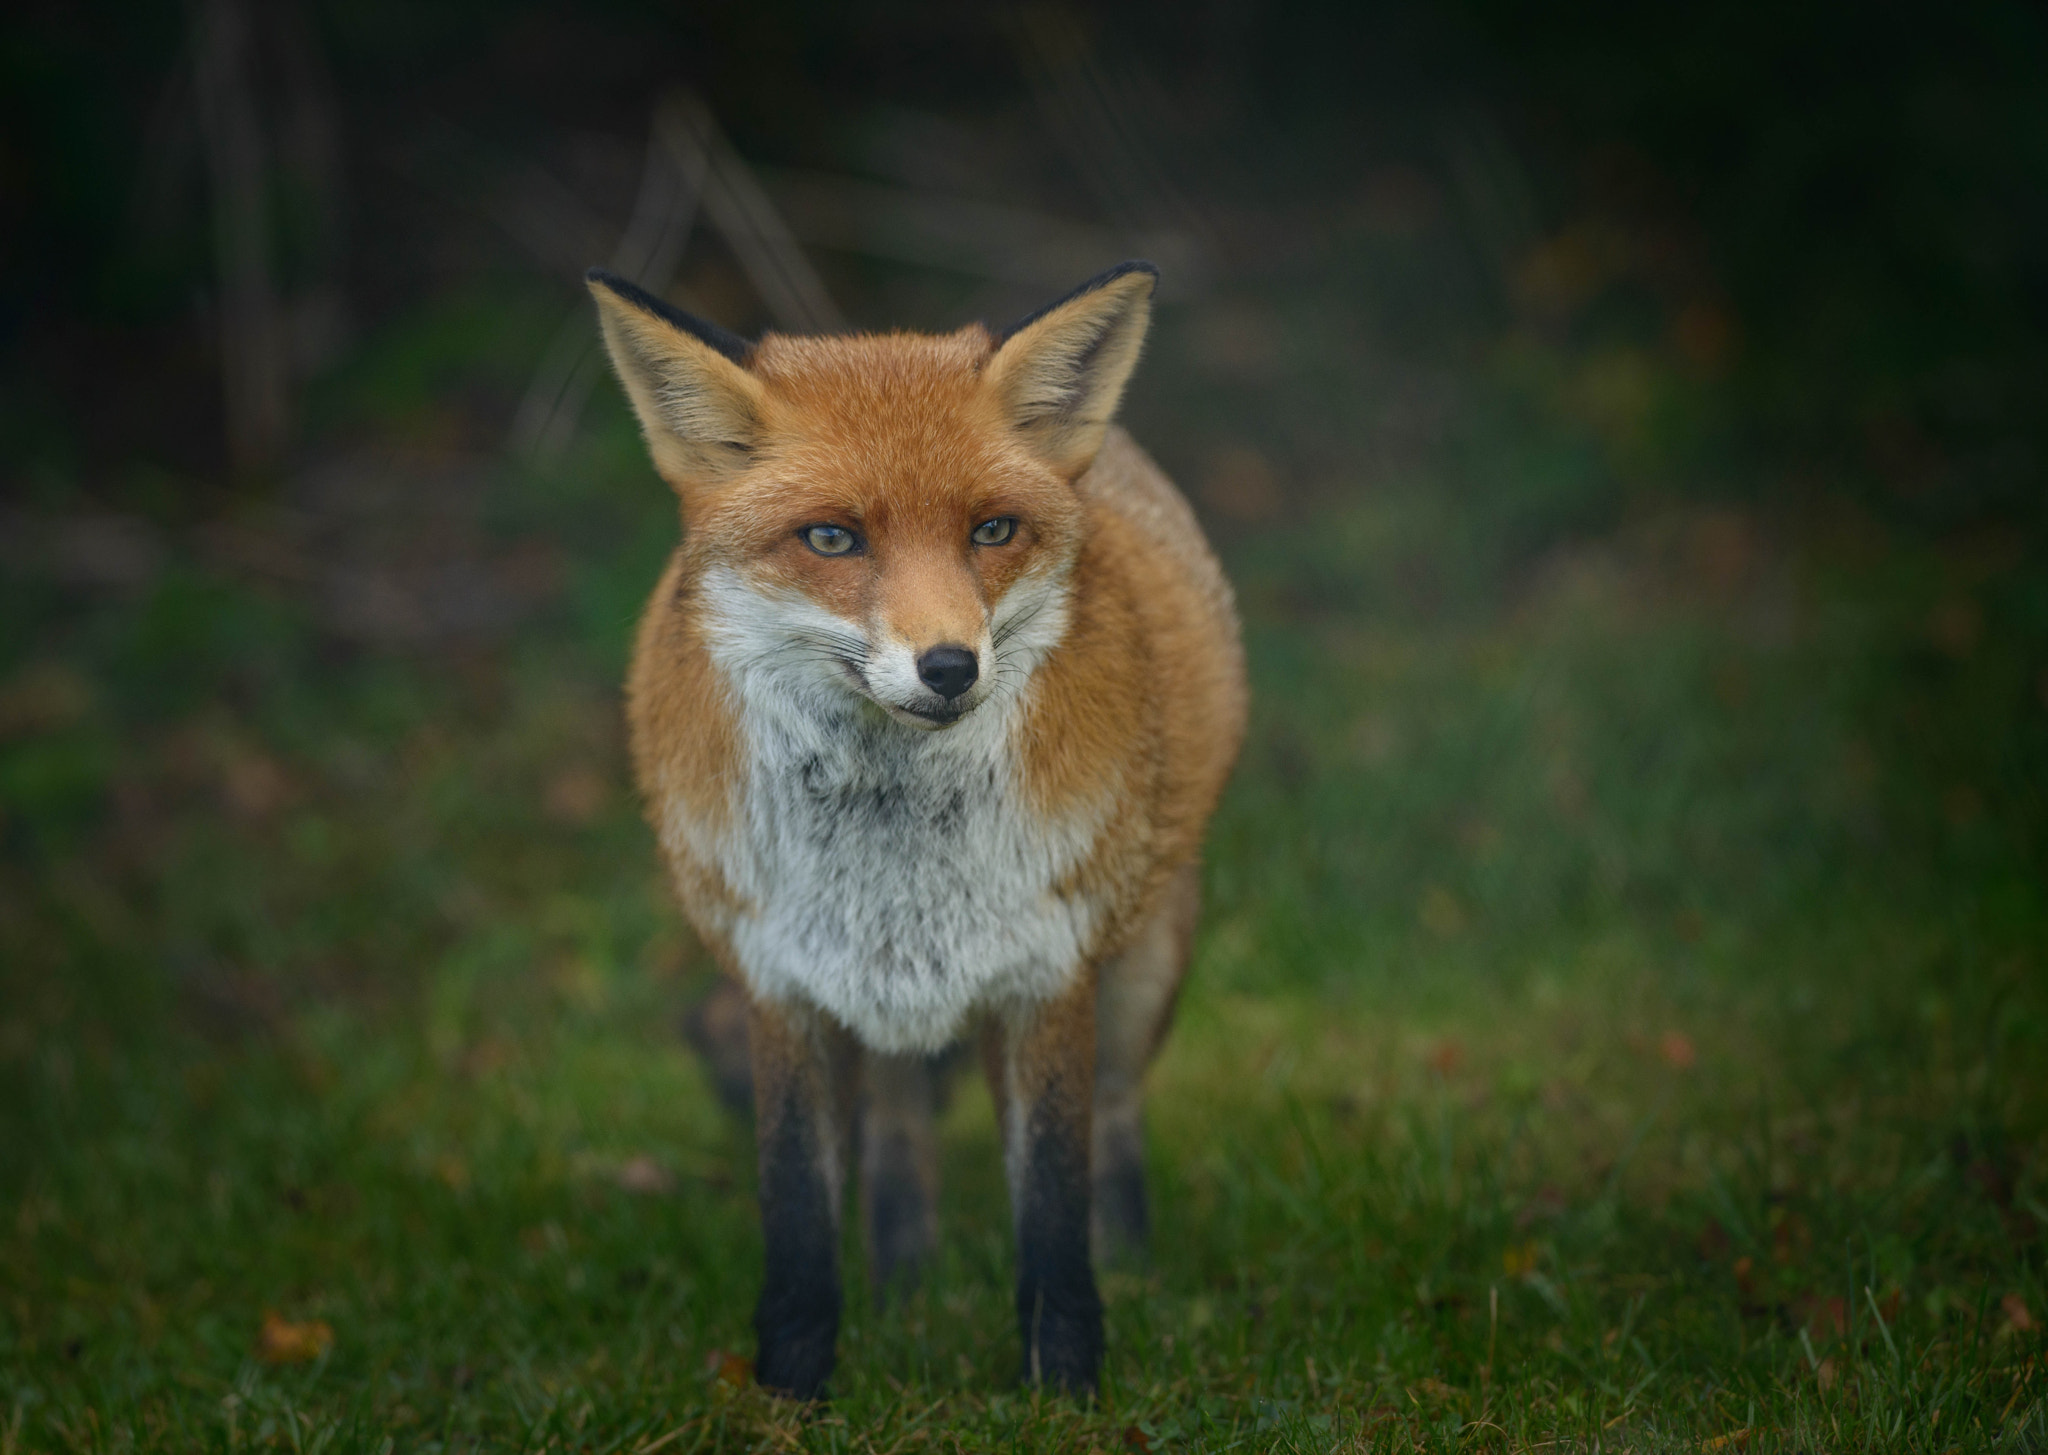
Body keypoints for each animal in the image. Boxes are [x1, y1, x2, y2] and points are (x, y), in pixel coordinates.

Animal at [585, 259, 1246, 1400]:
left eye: (991, 531)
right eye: (832, 538)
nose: (948, 666)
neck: (894, 853)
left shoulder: (1047, 974)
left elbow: (1052, 1209)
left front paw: (1065, 1389)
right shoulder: (783, 981)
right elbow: (799, 1216)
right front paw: (791, 1392)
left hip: (1142, 967)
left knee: (1115, 1121)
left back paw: (1134, 1273)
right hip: (881, 1007)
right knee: (898, 1132)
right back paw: (907, 1290)